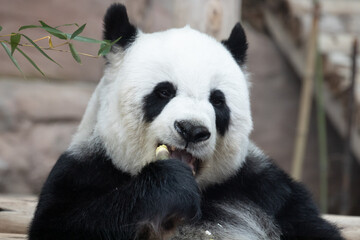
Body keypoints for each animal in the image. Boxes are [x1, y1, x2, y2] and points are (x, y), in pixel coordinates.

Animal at [28, 3, 344, 240]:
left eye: (218, 101)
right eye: (164, 92)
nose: (192, 130)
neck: (200, 192)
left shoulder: (264, 189)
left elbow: (312, 226)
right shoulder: (83, 170)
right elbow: (59, 225)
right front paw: (170, 185)